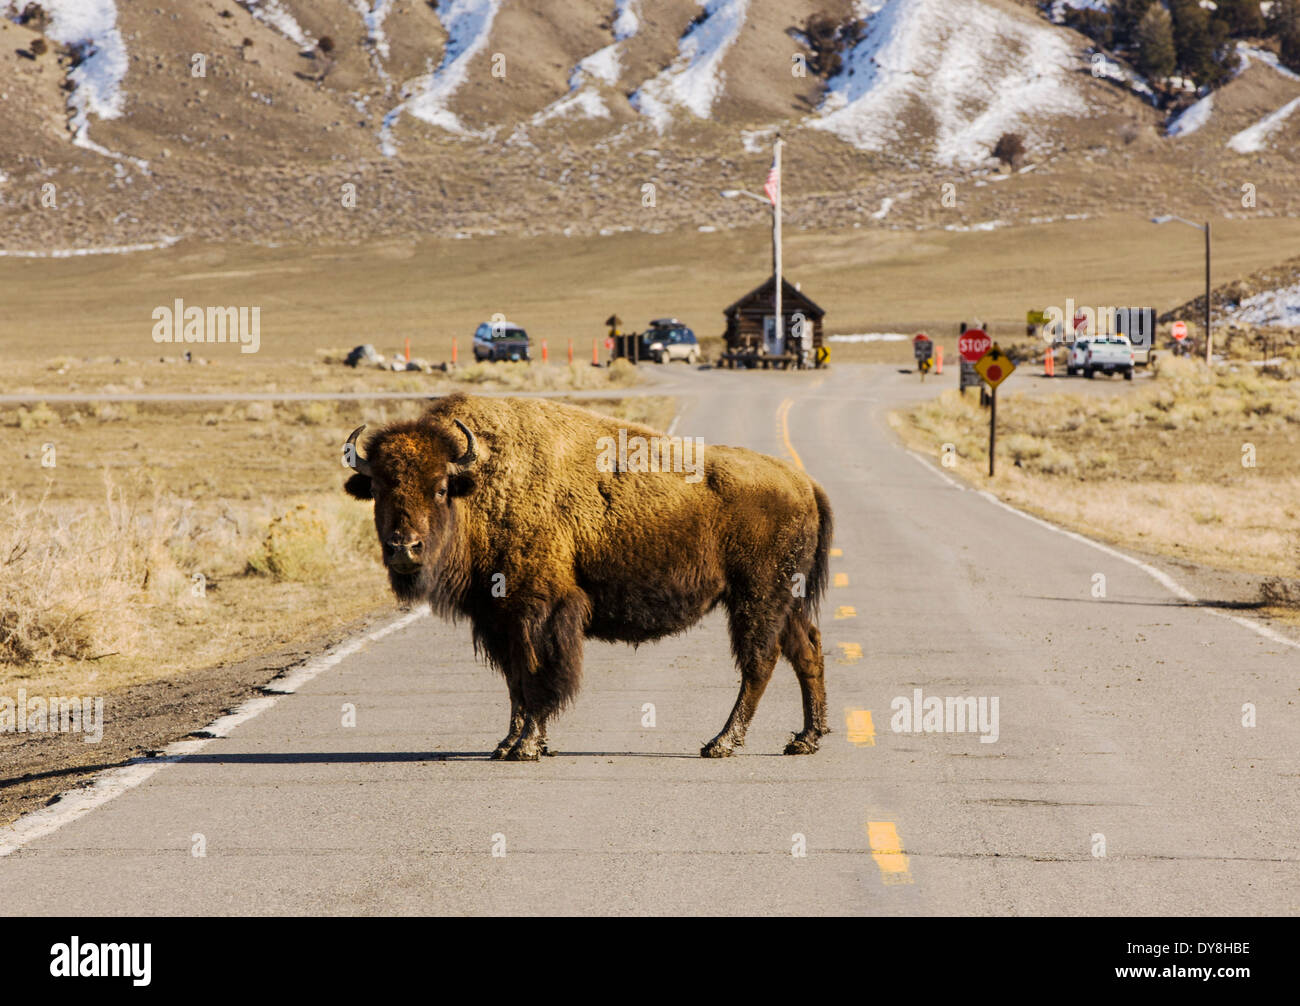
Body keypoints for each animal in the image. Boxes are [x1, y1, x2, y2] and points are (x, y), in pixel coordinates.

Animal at [343, 395, 832, 764]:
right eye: (379, 490)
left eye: (440, 488)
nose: (404, 548)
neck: (480, 483)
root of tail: (804, 483)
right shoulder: (499, 620)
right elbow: (515, 682)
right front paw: (506, 743)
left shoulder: (536, 612)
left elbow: (537, 677)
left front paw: (527, 746)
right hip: (786, 600)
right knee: (806, 650)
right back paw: (804, 739)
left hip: (757, 597)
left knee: (759, 662)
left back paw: (721, 743)